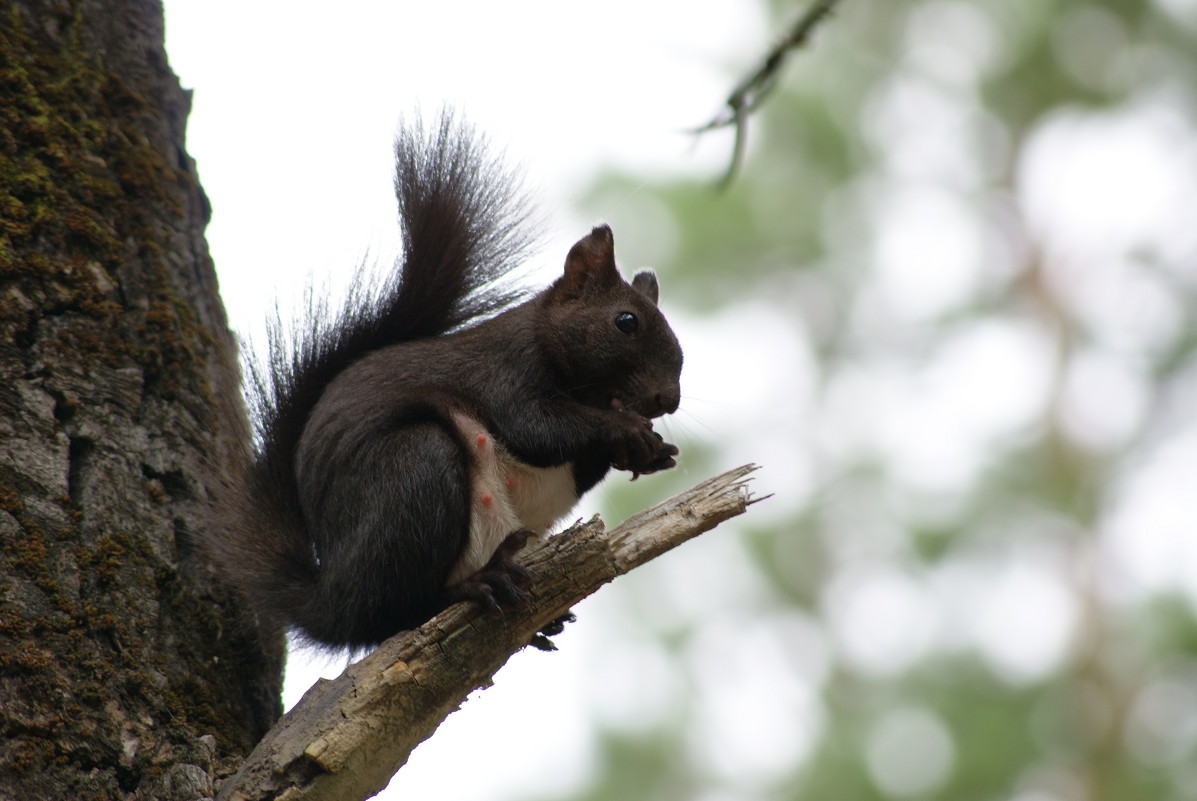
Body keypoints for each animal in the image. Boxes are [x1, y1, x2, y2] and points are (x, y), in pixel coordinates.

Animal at [205, 113, 684, 651]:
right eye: (626, 321)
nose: (668, 399)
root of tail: (333, 604)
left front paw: (650, 451)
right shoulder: (504, 372)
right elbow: (537, 430)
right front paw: (627, 431)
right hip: (415, 472)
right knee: (396, 611)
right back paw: (475, 586)